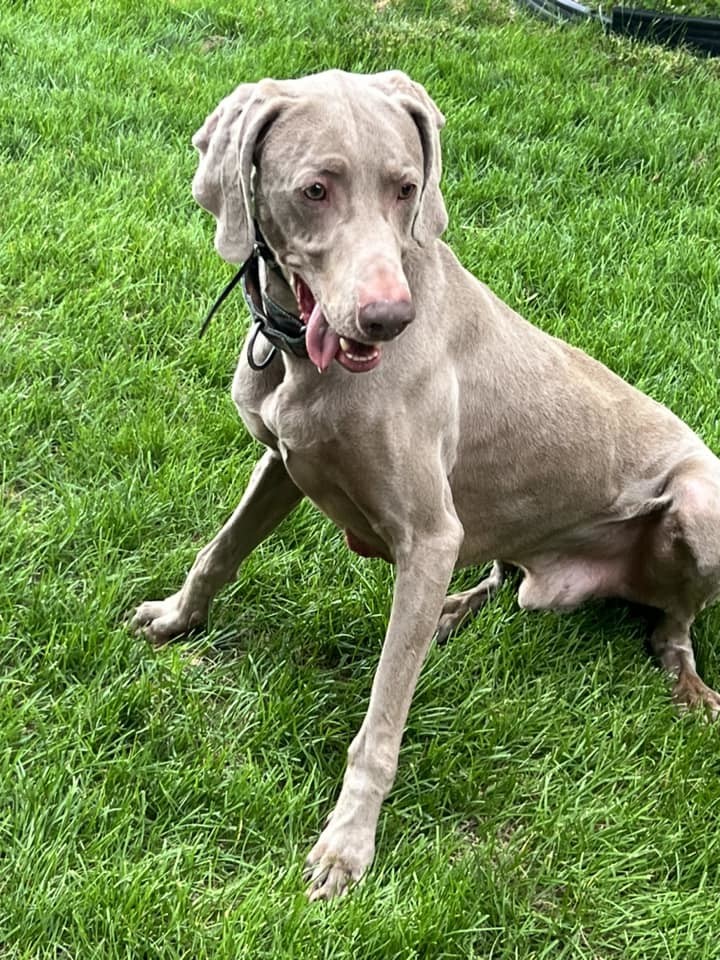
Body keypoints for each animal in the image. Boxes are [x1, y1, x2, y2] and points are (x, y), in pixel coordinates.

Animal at [132, 69, 720, 900]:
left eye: (407, 188)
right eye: (315, 190)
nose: (388, 319)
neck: (301, 361)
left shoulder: (430, 534)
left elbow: (382, 718)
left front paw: (347, 846)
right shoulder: (282, 463)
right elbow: (220, 550)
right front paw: (174, 617)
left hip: (702, 504)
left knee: (673, 627)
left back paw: (690, 688)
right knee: (505, 578)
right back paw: (450, 612)